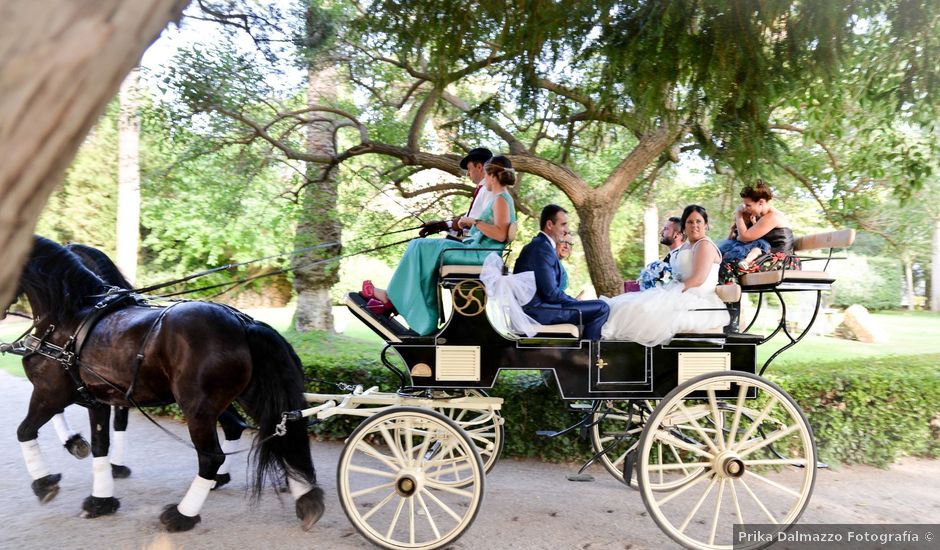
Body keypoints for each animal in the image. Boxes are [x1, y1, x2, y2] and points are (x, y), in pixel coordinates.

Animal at [9, 236, 324, 532]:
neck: (71, 318)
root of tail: (243, 323)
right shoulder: (95, 399)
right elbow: (100, 445)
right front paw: (100, 499)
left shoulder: (50, 392)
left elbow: (24, 431)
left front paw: (45, 482)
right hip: (251, 397)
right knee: (279, 434)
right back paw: (306, 497)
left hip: (197, 409)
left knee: (211, 457)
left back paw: (183, 515)